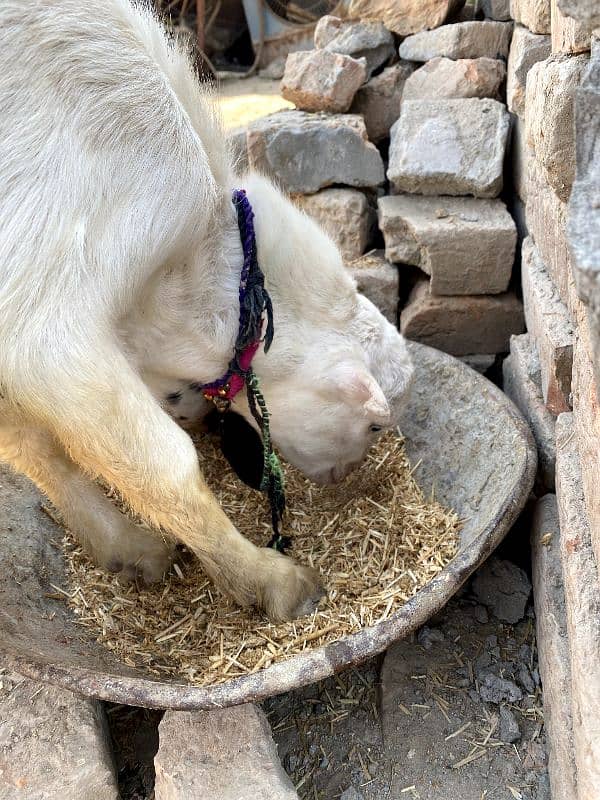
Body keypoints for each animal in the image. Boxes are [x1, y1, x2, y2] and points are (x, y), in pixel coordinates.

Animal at [0, 0, 412, 620]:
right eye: (373, 425)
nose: (345, 476)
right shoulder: (45, 317)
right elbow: (164, 464)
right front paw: (271, 582)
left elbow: (40, 449)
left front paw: (126, 549)